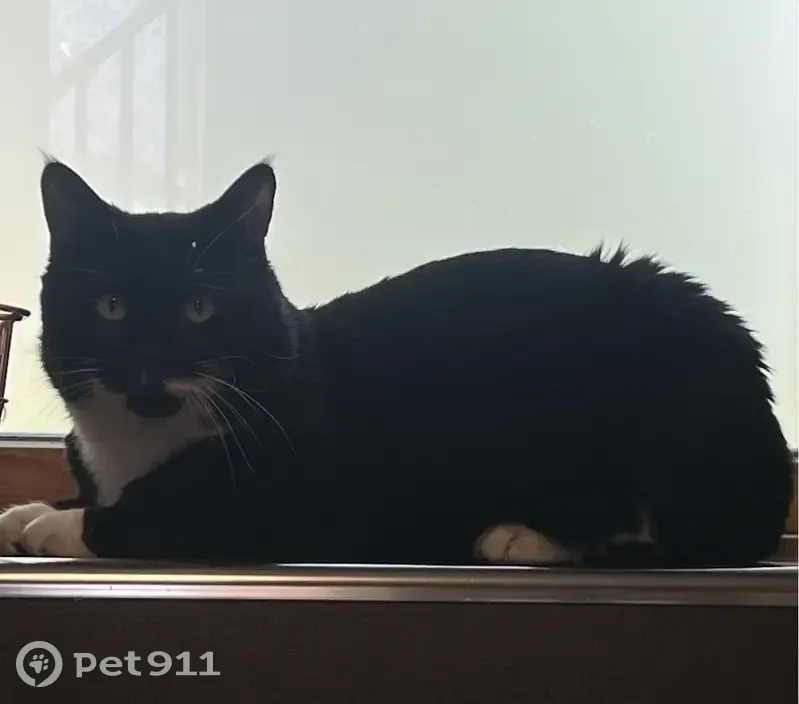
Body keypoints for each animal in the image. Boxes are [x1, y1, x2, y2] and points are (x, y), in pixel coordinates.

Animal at [0, 157, 792, 566]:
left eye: (200, 309)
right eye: (111, 308)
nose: (151, 359)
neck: (139, 445)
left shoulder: (299, 499)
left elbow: (154, 516)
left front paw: (58, 527)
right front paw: (35, 507)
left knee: (689, 538)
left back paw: (523, 537)